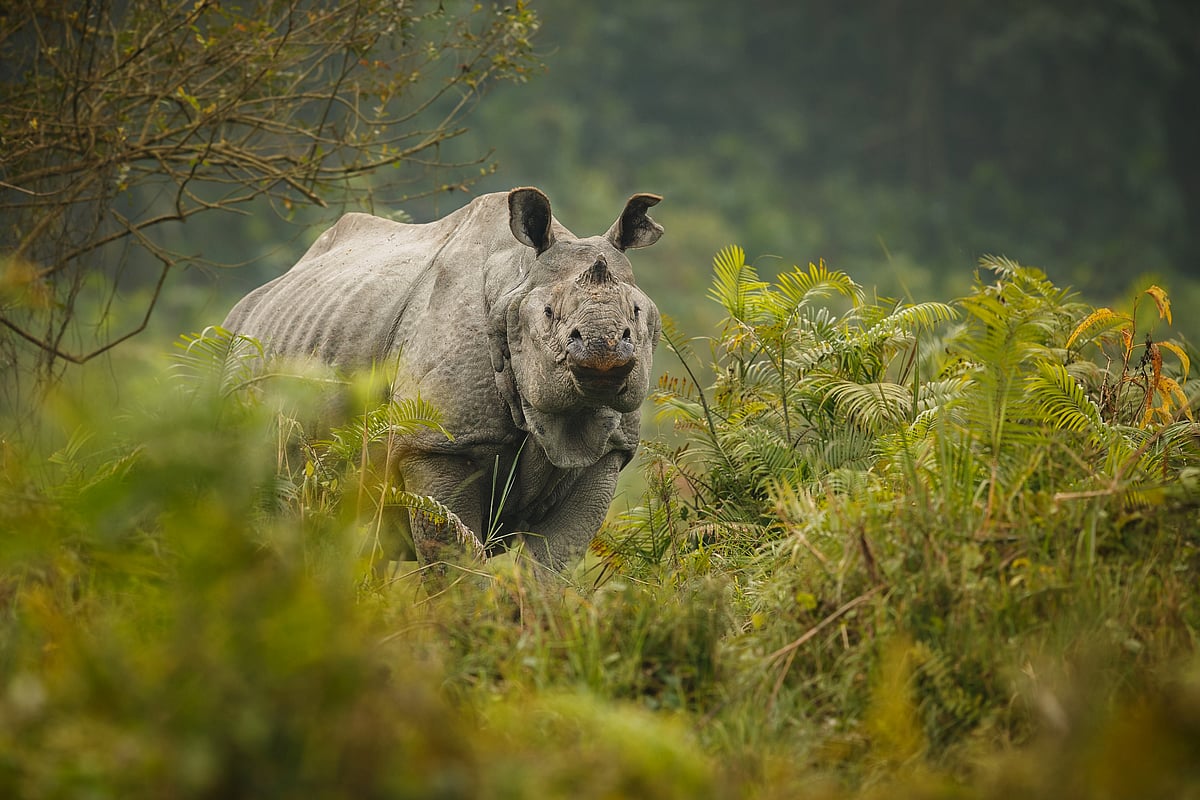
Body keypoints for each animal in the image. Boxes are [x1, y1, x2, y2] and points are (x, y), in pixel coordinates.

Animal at [222, 187, 664, 570]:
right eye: (549, 313)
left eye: (637, 313)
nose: (603, 349)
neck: (515, 283)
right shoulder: (438, 445)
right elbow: (455, 564)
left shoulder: (607, 453)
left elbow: (551, 566)